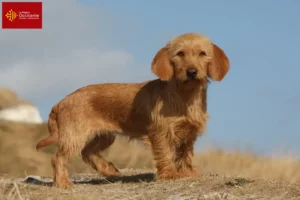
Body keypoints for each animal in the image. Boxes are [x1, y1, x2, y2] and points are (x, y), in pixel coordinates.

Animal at [36, 32, 231, 188]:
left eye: (202, 54)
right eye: (180, 54)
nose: (192, 71)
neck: (185, 96)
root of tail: (61, 101)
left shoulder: (189, 133)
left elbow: (185, 154)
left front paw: (186, 173)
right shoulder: (160, 132)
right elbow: (165, 153)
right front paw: (169, 174)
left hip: (104, 136)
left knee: (87, 152)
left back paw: (108, 170)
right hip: (75, 136)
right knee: (58, 158)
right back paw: (62, 183)